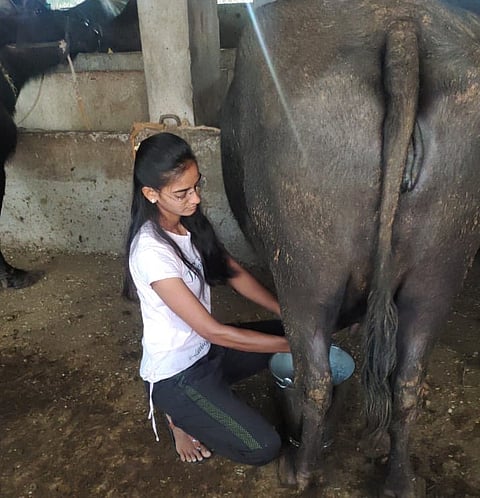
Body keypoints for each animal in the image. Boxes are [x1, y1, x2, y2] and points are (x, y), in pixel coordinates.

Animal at [220, 0, 480, 496]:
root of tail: (401, 29)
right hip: (439, 272)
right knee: (405, 380)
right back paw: (398, 477)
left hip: (307, 271)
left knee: (317, 376)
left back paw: (299, 470)